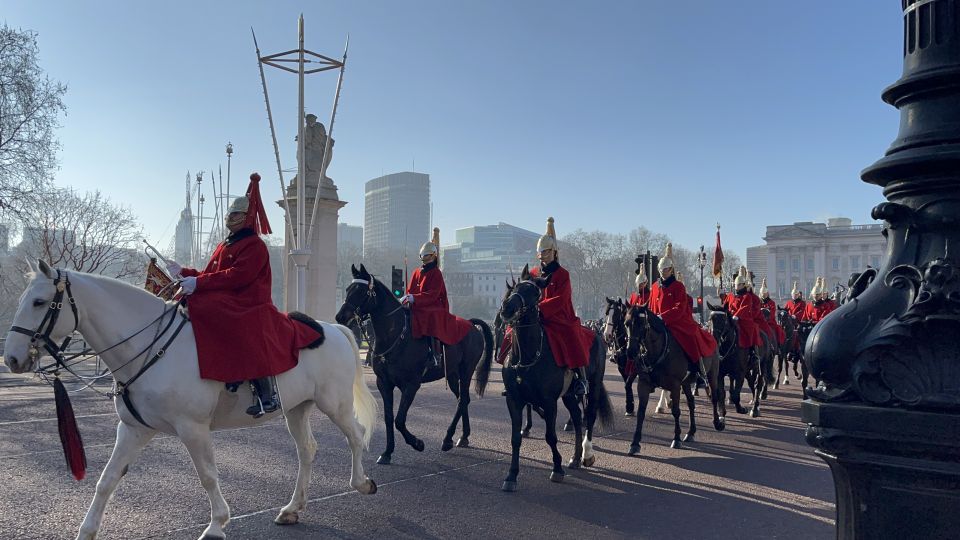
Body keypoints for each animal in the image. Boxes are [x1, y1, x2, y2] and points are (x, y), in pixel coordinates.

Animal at [3, 260, 378, 536]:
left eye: (39, 302)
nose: (11, 358)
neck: (149, 348)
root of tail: (333, 328)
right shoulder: (133, 429)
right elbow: (107, 480)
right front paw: (87, 530)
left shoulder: (193, 428)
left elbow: (207, 475)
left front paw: (216, 525)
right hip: (296, 410)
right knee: (307, 451)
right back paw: (292, 508)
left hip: (335, 405)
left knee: (356, 436)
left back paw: (361, 483)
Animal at [336, 264, 496, 462]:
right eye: (348, 289)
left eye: (361, 290)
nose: (340, 316)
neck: (396, 336)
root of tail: (471, 324)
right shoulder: (384, 383)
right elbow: (389, 417)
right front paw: (387, 452)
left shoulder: (411, 384)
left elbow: (399, 419)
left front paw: (417, 443)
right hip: (452, 374)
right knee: (463, 399)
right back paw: (462, 436)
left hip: (466, 371)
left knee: (463, 399)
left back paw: (447, 439)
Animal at [498, 266, 612, 494]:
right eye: (515, 287)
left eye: (535, 293)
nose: (507, 308)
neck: (527, 356)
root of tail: (596, 334)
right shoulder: (514, 399)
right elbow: (515, 438)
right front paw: (512, 475)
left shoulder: (549, 402)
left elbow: (550, 436)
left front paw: (557, 468)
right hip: (568, 395)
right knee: (576, 417)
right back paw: (575, 458)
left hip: (594, 385)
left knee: (590, 416)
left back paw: (587, 454)